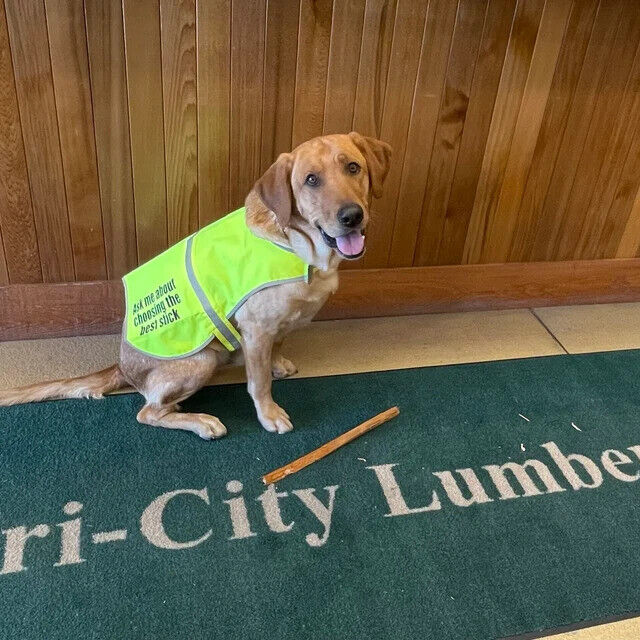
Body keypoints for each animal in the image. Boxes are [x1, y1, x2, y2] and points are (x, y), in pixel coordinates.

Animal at [0, 132, 392, 439]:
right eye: (311, 180)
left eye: (353, 167)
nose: (352, 216)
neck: (298, 244)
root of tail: (120, 367)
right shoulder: (256, 329)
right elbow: (258, 382)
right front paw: (269, 414)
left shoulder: (276, 327)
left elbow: (277, 346)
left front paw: (278, 362)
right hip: (201, 360)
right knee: (148, 411)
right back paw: (201, 421)